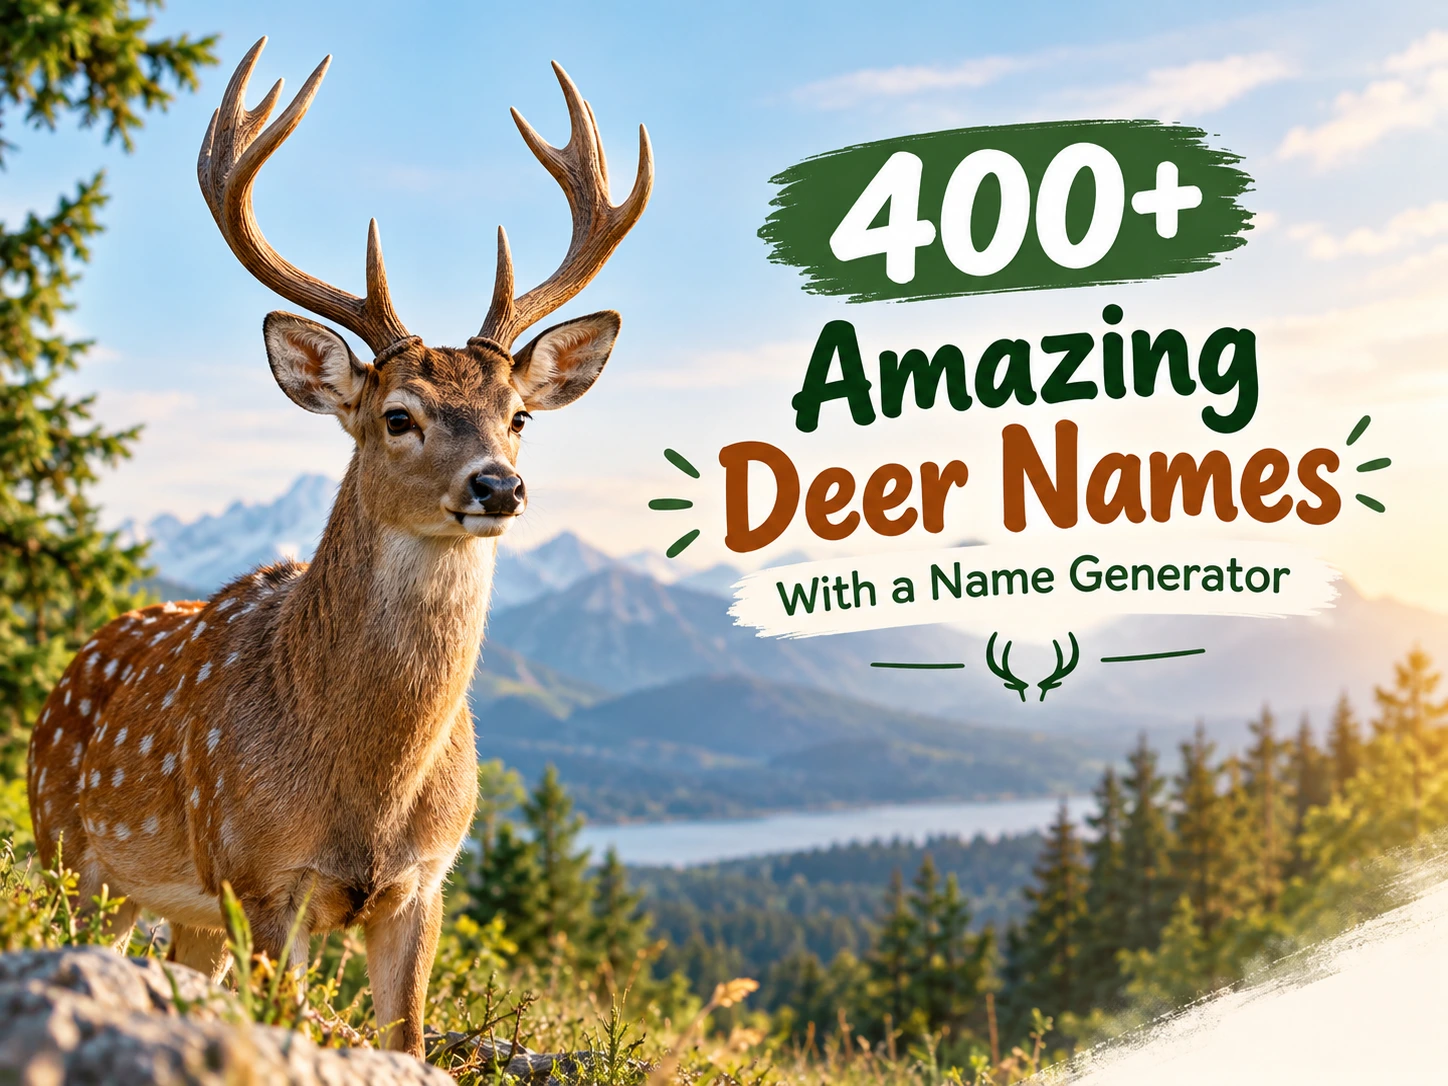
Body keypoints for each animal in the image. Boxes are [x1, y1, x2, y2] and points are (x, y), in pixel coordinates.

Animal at [24, 36, 650, 1058]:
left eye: (519, 416)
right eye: (399, 416)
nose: (499, 486)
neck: (370, 795)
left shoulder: (425, 883)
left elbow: (409, 1041)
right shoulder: (260, 872)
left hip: (187, 912)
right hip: (70, 854)